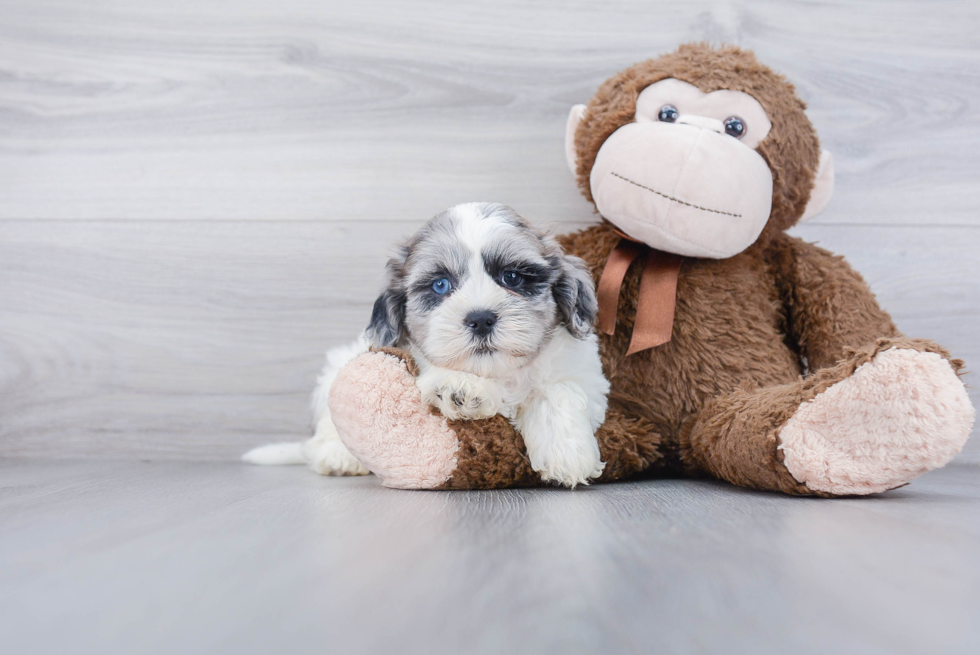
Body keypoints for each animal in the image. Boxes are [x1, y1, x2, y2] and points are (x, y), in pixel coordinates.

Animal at [247, 204, 604, 486]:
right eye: (440, 285)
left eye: (512, 278)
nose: (481, 319)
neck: (496, 373)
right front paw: (462, 388)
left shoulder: (584, 371)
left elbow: (559, 389)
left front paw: (567, 455)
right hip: (337, 367)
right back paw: (339, 456)